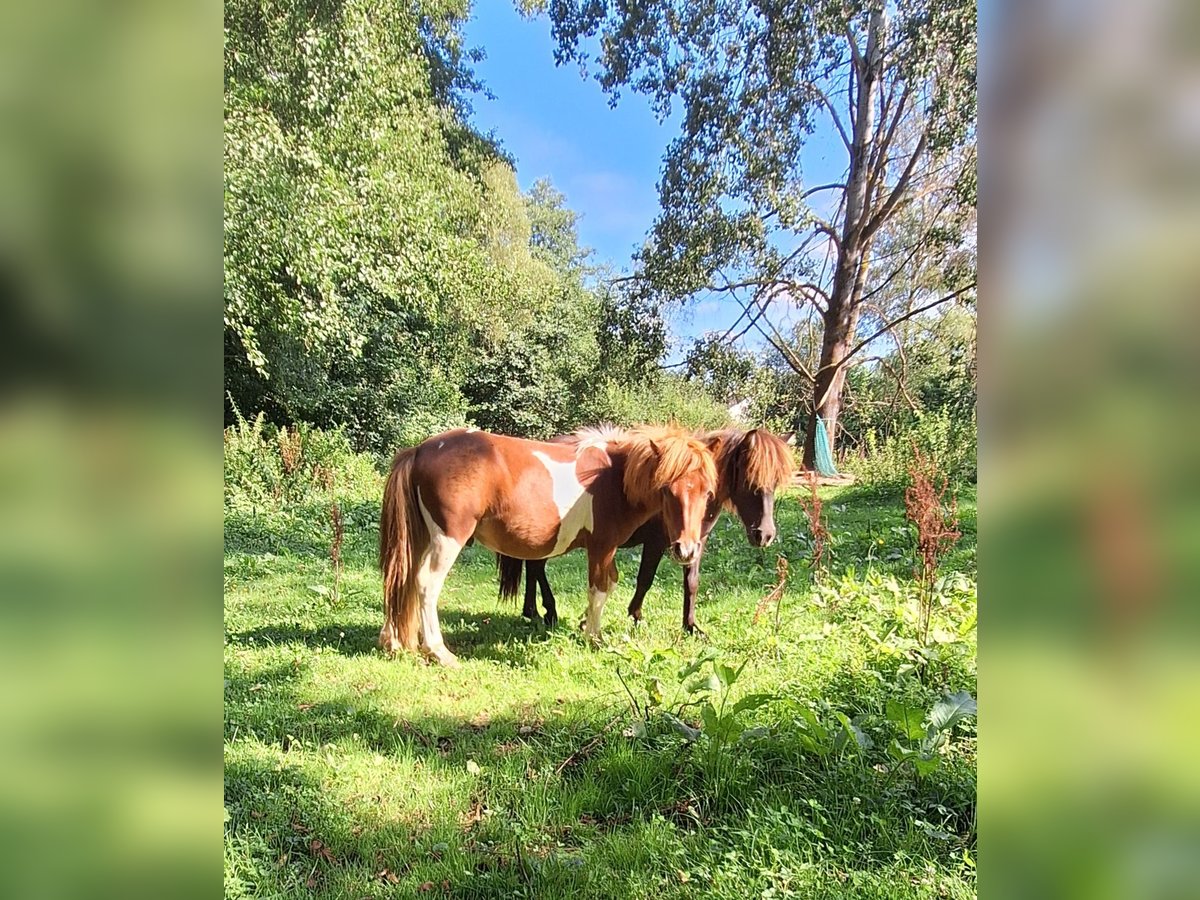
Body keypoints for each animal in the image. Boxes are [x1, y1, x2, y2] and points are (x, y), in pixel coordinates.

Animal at [376, 427, 710, 667]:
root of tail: (419, 450)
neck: (614, 477)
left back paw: (394, 642)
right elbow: (599, 588)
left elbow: (608, 586)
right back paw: (439, 652)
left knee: (401, 579)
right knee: (425, 584)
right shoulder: (601, 547)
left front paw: (586, 627)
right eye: (667, 490)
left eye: (707, 492)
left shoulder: (607, 549)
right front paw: (593, 637)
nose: (687, 550)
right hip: (447, 539)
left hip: (420, 538)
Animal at [499, 427, 796, 633]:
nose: (764, 535)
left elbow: (691, 582)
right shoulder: (658, 543)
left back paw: (533, 611)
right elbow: (645, 579)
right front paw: (634, 616)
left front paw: (691, 626)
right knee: (537, 567)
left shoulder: (695, 543)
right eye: (750, 481)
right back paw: (547, 612)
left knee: (533, 566)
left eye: (776, 483)